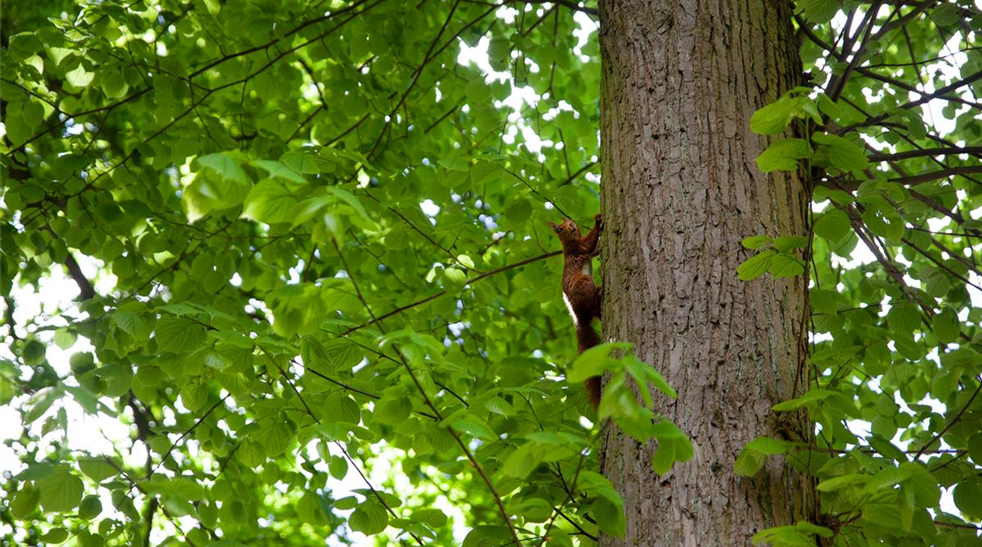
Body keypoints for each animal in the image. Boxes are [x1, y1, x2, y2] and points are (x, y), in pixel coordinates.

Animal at [548, 213, 604, 406]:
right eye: (561, 228)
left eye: (570, 221)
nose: (571, 226)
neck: (568, 243)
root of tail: (578, 317)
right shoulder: (580, 248)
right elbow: (590, 241)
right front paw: (598, 220)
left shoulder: (584, 249)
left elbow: (595, 249)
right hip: (584, 283)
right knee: (592, 306)